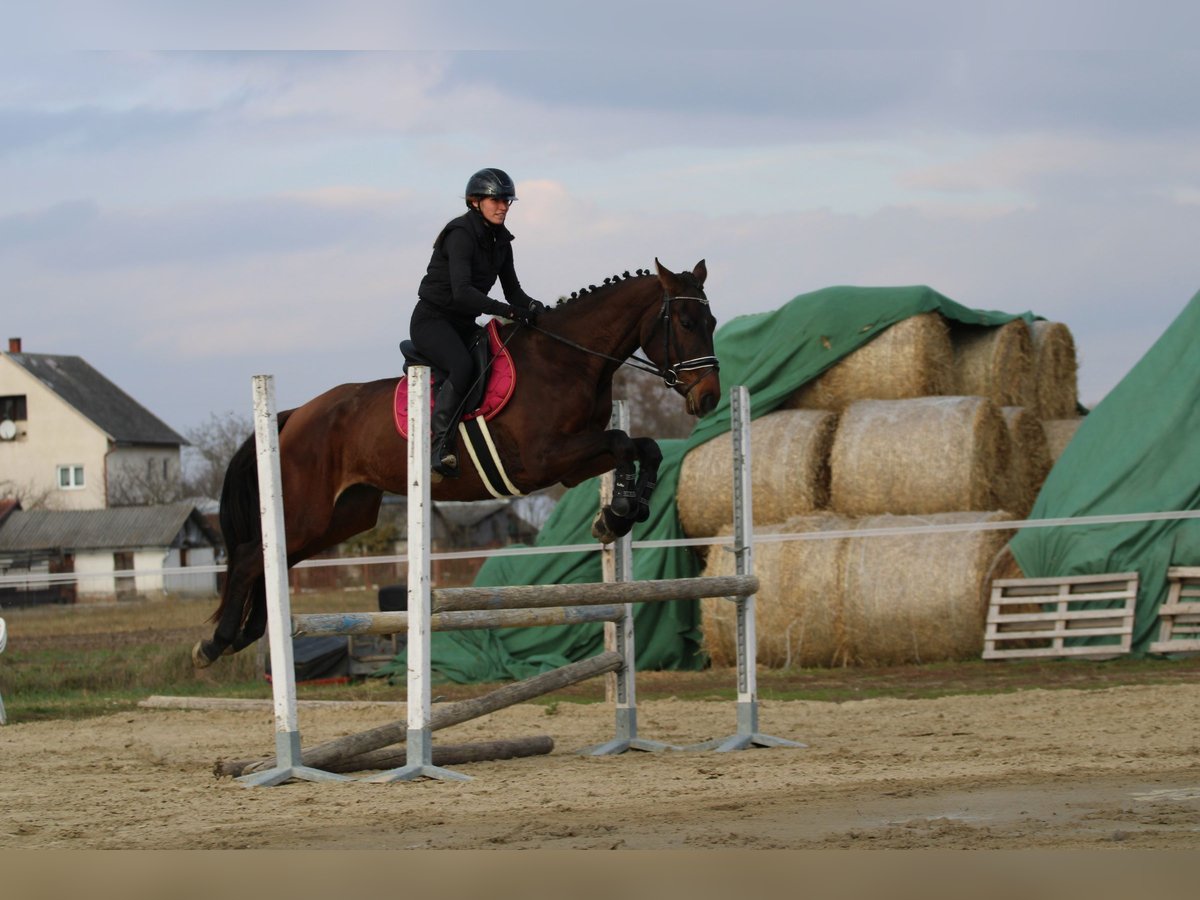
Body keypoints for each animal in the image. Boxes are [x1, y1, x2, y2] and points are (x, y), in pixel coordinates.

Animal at [192, 258, 721, 667]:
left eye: (712, 323)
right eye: (686, 324)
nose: (710, 397)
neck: (566, 360)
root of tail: (294, 415)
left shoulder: (573, 464)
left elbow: (643, 446)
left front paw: (620, 514)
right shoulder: (544, 460)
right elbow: (625, 442)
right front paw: (618, 513)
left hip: (343, 516)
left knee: (274, 555)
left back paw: (250, 631)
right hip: (310, 510)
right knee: (249, 556)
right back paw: (215, 643)